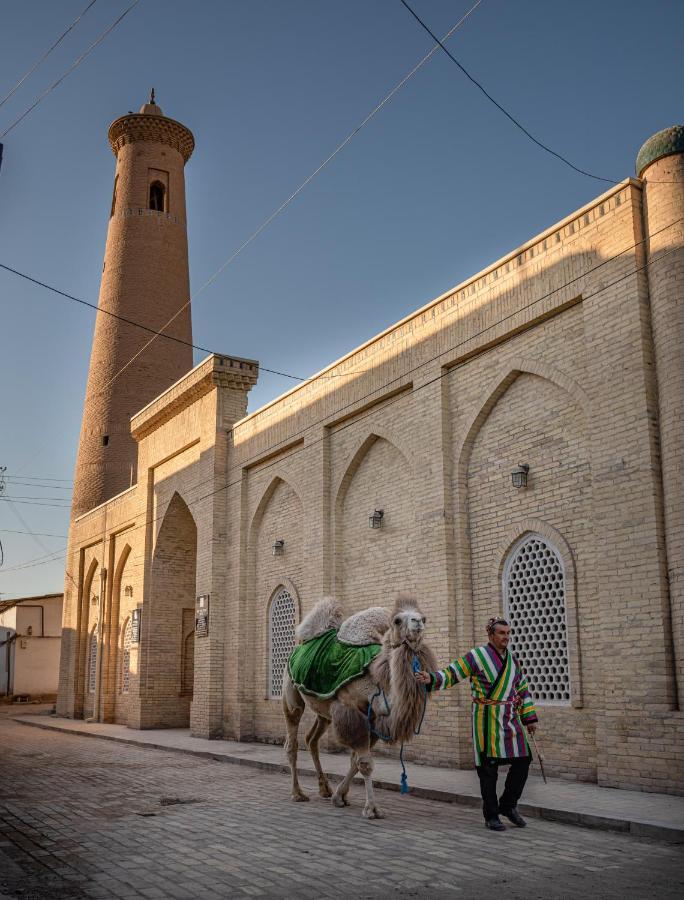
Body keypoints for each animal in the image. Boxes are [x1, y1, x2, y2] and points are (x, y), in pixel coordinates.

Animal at [280, 596, 436, 816]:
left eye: (423, 617)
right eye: (397, 620)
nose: (418, 622)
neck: (379, 680)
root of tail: (300, 645)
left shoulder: (374, 719)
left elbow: (355, 761)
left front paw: (340, 796)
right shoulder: (350, 711)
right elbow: (365, 763)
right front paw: (371, 808)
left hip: (324, 710)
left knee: (311, 739)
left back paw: (325, 789)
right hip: (291, 693)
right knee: (292, 741)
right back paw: (298, 793)